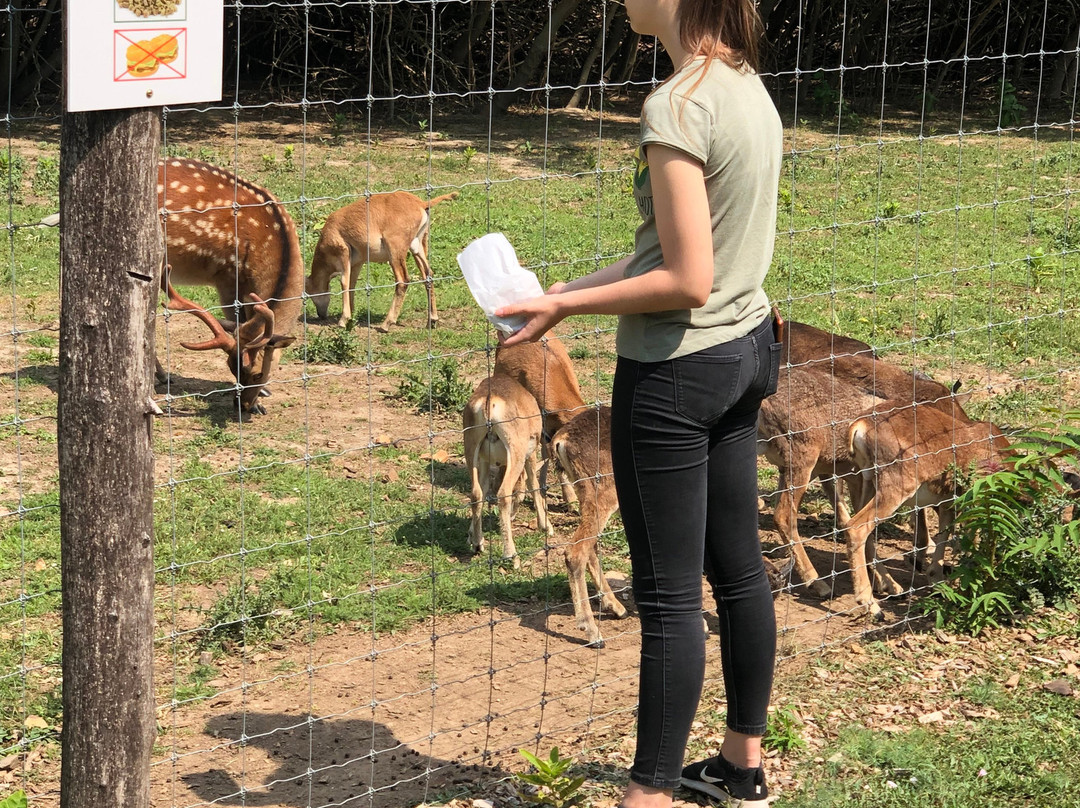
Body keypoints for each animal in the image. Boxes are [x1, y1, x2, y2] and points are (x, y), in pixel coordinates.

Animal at [306, 189, 457, 328]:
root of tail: (421, 204)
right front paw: (352, 316)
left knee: (403, 280)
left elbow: (344, 282)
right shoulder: (357, 263)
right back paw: (432, 320)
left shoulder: (344, 253)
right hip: (418, 248)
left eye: (309, 292)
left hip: (395, 252)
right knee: (428, 274)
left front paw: (343, 320)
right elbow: (352, 284)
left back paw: (386, 324)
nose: (321, 315)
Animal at [462, 373, 552, 566]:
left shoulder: (484, 462)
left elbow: (483, 489)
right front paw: (546, 526)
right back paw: (512, 556)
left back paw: (478, 544)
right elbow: (533, 485)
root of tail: (489, 402)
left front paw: (471, 535)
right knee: (503, 494)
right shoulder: (529, 456)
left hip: (471, 450)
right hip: (516, 453)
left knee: (476, 494)